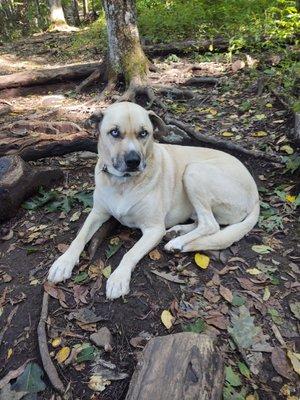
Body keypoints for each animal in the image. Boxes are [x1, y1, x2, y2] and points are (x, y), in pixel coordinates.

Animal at [48, 101, 258, 298]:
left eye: (143, 133)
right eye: (114, 132)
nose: (133, 161)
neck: (123, 183)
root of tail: (256, 195)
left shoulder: (153, 229)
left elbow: (130, 253)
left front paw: (118, 278)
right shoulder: (98, 212)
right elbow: (79, 237)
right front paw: (63, 262)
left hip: (193, 171)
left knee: (211, 225)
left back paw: (177, 242)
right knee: (204, 222)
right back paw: (176, 232)